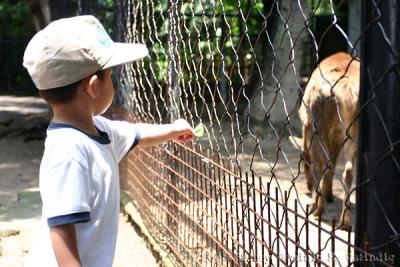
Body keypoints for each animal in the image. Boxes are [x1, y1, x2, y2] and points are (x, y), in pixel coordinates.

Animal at [290, 51, 360, 230]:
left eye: (302, 159)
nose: (307, 186)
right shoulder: (338, 137)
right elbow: (334, 163)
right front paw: (329, 195)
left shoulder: (308, 128)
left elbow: (319, 165)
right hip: (353, 130)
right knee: (347, 171)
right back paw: (345, 222)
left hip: (317, 123)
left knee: (323, 164)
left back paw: (317, 210)